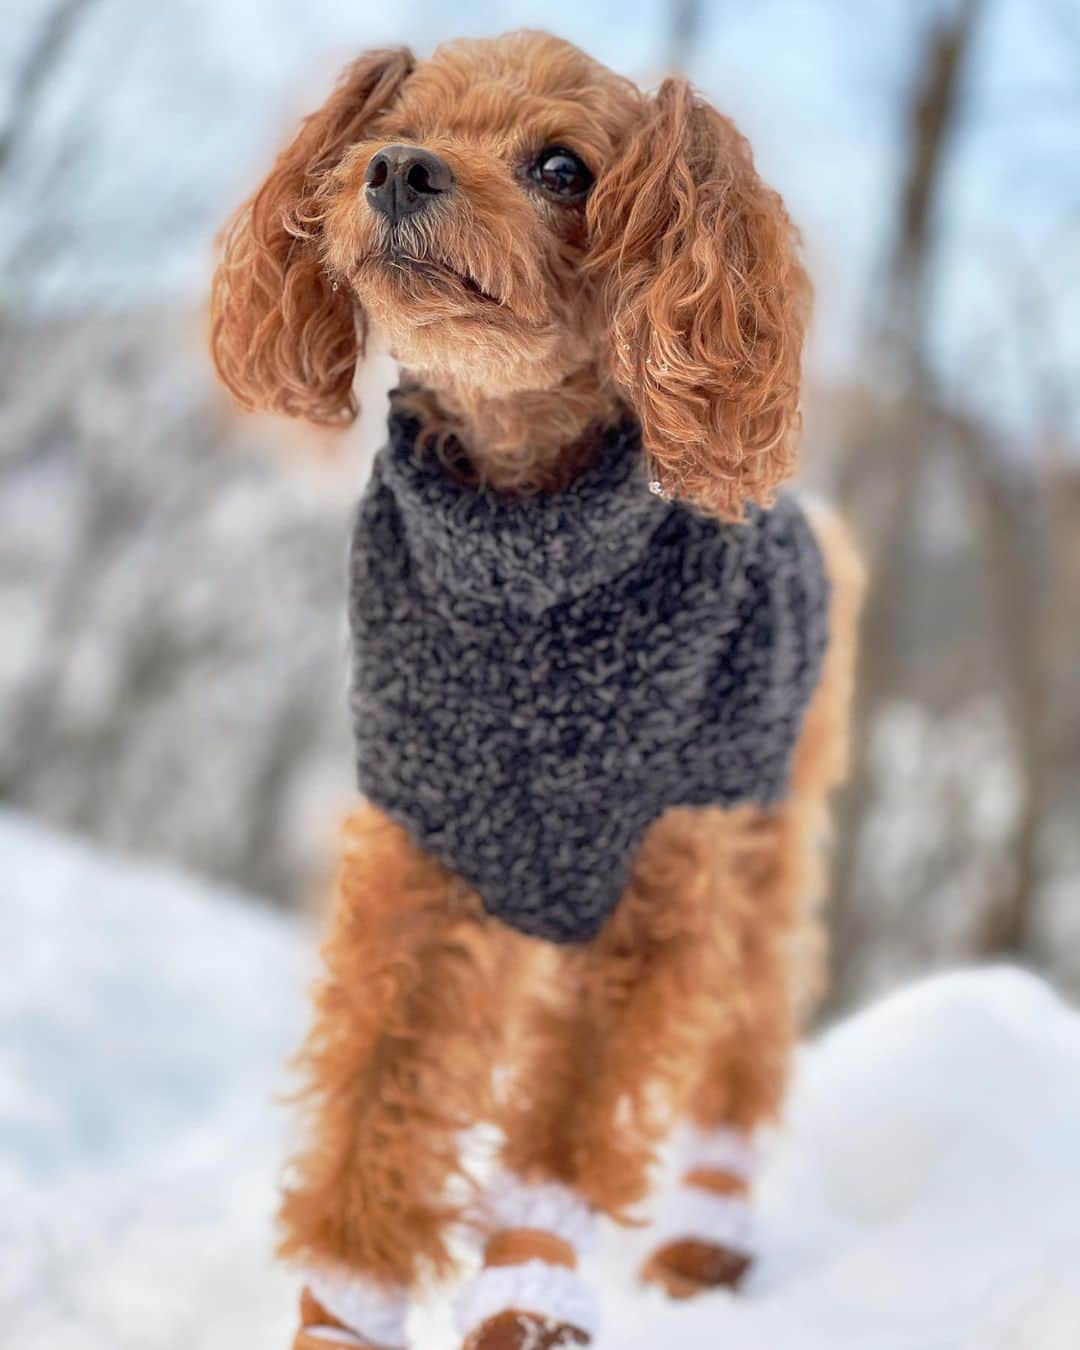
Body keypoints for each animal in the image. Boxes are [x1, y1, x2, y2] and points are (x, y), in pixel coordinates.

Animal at [213, 31, 858, 1350]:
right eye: (394, 125)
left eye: (563, 168)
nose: (397, 169)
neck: (527, 555)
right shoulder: (427, 858)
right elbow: (379, 1106)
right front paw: (346, 1307)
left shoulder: (657, 893)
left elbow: (565, 1125)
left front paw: (529, 1297)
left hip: (760, 842)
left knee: (745, 1039)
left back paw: (711, 1237)